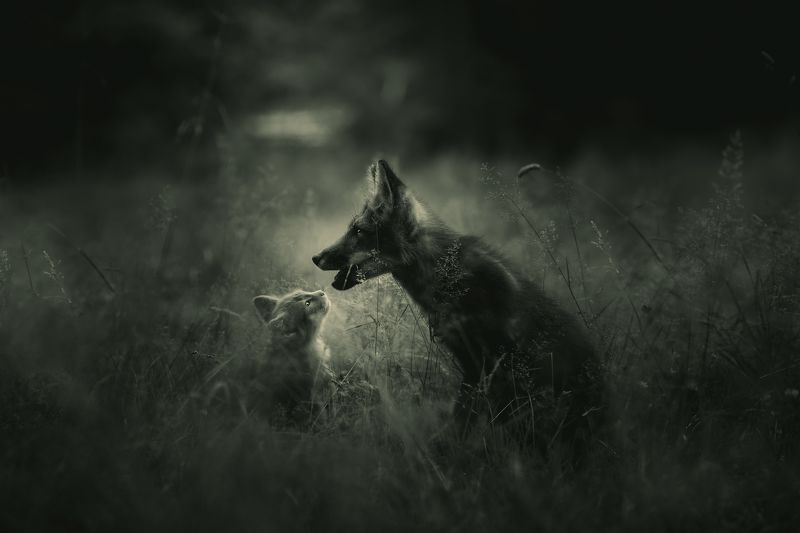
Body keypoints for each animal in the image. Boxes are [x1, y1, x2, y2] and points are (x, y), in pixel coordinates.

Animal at [313, 160, 603, 460]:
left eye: (359, 231)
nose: (315, 257)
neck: (448, 278)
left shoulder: (488, 363)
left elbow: (464, 423)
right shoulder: (473, 364)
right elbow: (462, 422)